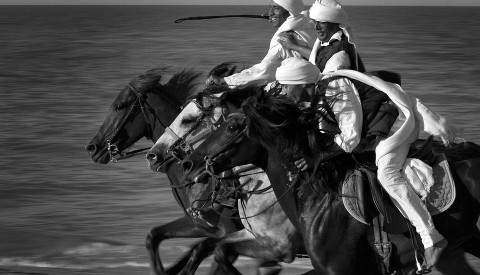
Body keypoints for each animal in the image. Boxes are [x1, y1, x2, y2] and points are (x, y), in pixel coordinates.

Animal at [84, 67, 248, 275]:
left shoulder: (229, 229)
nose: (92, 148)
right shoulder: (199, 224)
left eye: (119, 106)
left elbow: (203, 254)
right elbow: (154, 236)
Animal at [182, 89, 480, 274]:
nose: (189, 163)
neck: (319, 198)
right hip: (461, 246)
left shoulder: (284, 247)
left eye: (231, 127)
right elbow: (215, 247)